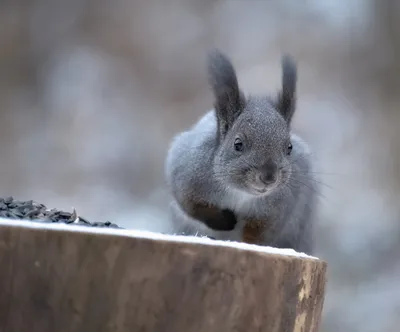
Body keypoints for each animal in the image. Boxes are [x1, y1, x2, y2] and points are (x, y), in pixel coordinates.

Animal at [164, 50, 318, 254]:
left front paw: (248, 242)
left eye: (289, 148)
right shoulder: (187, 176)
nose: (269, 178)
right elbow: (193, 206)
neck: (241, 194)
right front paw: (226, 221)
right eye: (238, 144)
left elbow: (258, 233)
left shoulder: (277, 209)